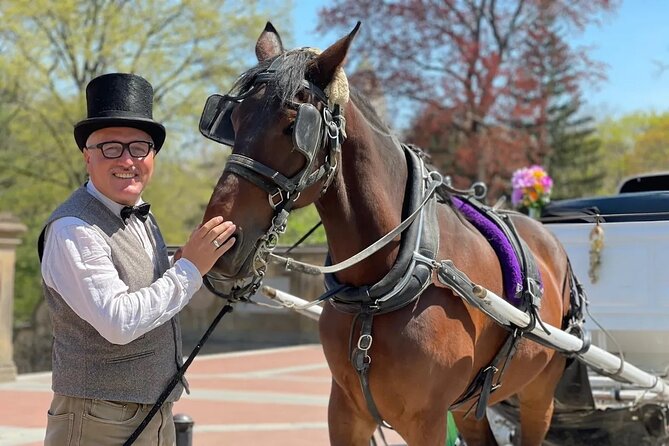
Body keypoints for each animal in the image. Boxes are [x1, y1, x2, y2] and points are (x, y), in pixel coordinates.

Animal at [200, 22, 576, 446]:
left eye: (294, 127)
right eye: (232, 120)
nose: (222, 242)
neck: (376, 290)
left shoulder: (426, 421)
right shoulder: (345, 411)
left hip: (538, 395)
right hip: (468, 407)